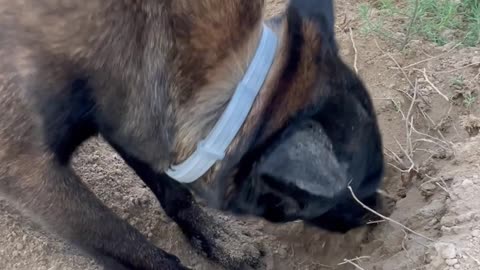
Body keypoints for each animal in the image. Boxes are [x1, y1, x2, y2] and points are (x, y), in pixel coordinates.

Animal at [0, 0, 384, 270]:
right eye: (346, 192)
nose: (377, 212)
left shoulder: (135, 113)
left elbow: (173, 190)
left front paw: (219, 237)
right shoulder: (29, 172)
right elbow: (124, 243)